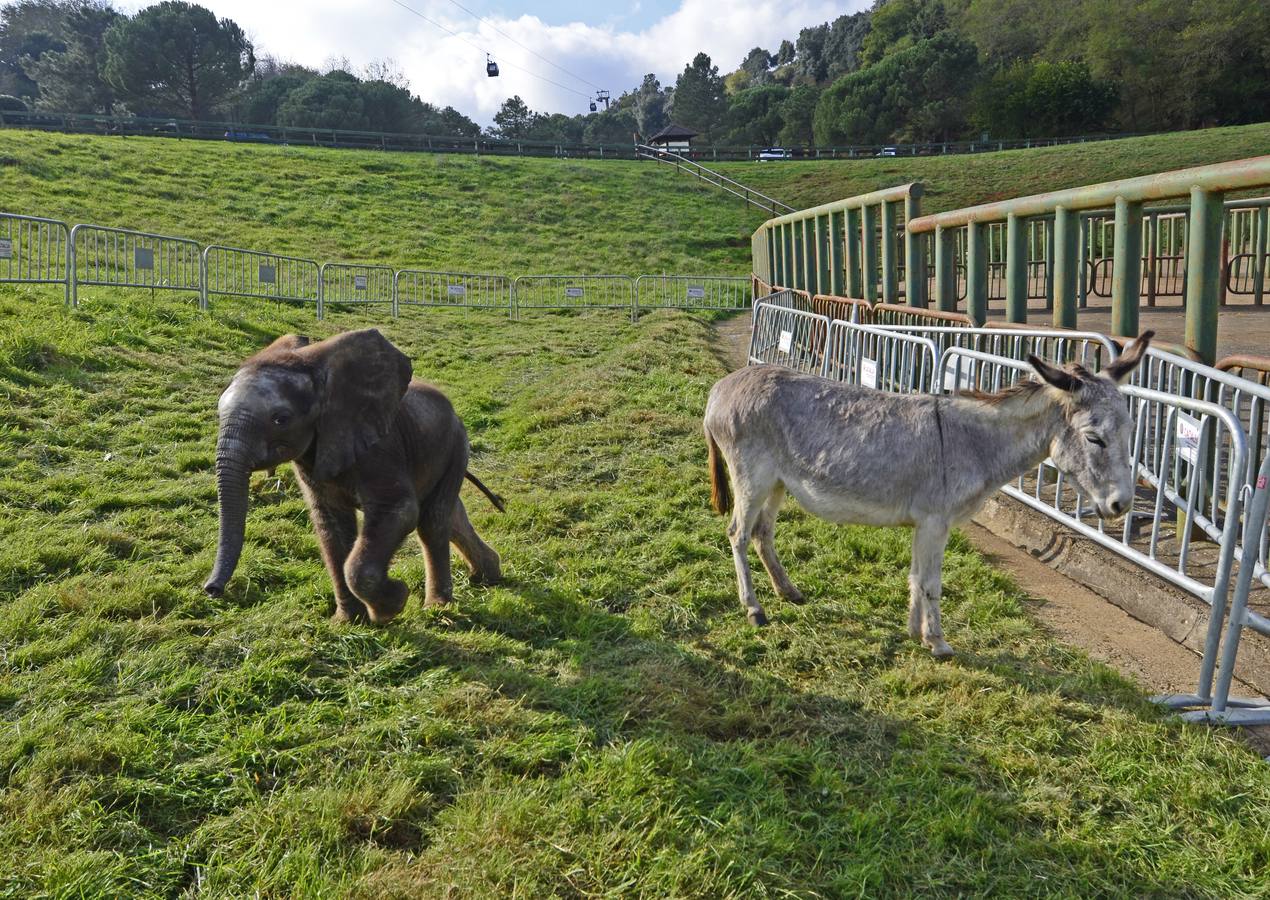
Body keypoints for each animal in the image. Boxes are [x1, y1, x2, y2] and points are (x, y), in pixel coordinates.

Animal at [203, 327, 500, 622]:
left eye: (280, 419)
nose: (212, 590)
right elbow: (331, 524)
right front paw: (348, 621)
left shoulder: (381, 448)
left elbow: (401, 511)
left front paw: (394, 602)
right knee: (450, 515)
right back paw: (487, 576)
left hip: (455, 444)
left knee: (432, 520)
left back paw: (438, 607)